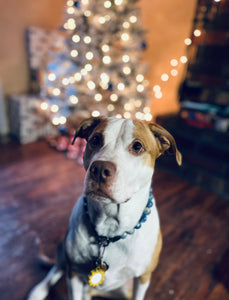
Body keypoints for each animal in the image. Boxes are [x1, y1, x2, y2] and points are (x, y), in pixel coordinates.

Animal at [27, 117, 182, 300]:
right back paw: (39, 290)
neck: (110, 224)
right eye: (95, 140)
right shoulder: (73, 273)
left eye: (137, 146)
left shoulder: (143, 277)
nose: (100, 169)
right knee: (57, 267)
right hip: (63, 248)